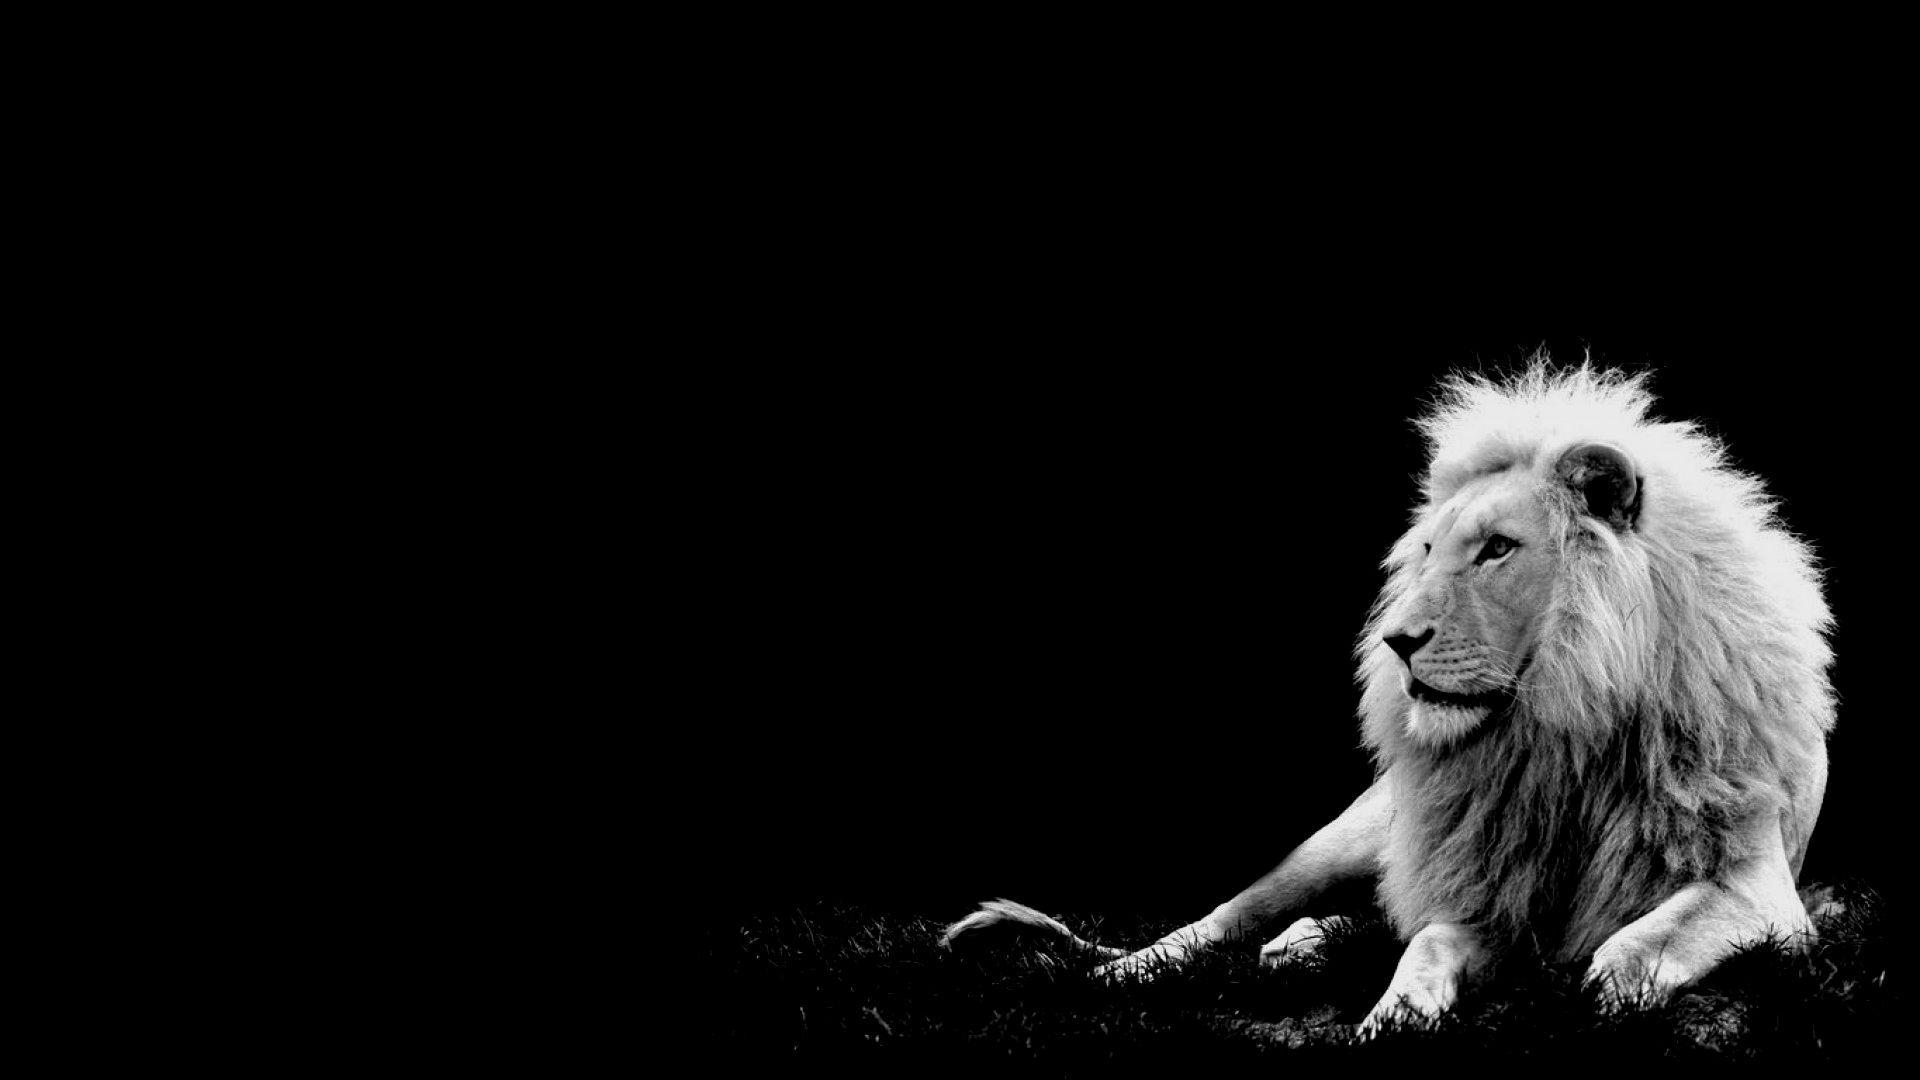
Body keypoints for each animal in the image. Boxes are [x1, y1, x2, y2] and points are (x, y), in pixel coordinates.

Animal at [943, 361, 1835, 1033]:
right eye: (1431, 551)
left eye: (1497, 550)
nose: (1395, 642)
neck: (1565, 725)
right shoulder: (1481, 888)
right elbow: (1426, 945)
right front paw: (1394, 1018)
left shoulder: (1760, 891)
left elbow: (1628, 948)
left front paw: (1598, 989)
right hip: (1339, 843)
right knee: (1225, 920)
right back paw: (1126, 975)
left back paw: (1300, 948)